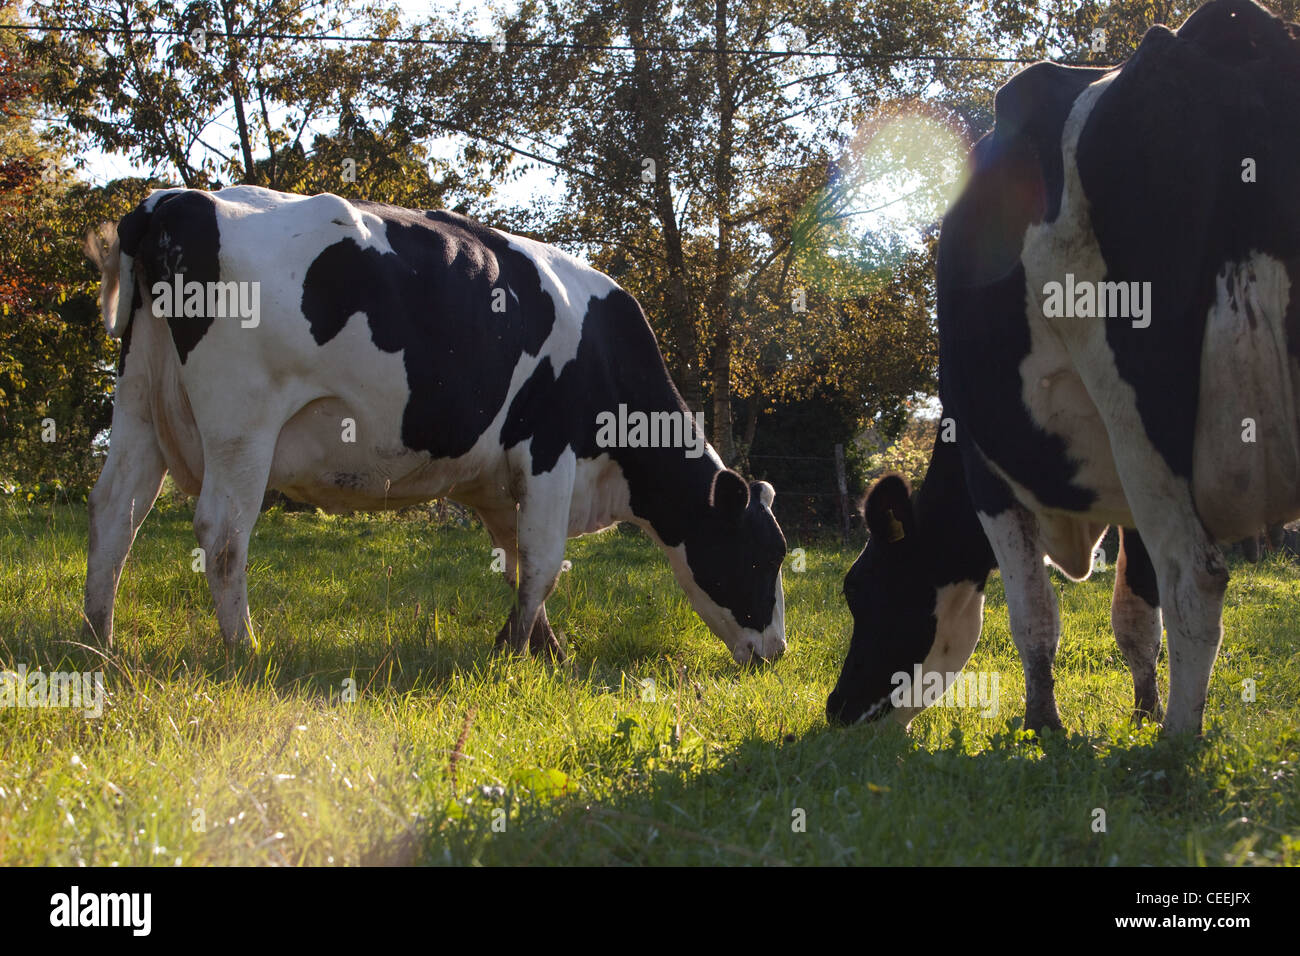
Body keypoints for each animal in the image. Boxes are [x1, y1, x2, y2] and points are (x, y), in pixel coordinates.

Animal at [82, 186, 787, 664]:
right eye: (763, 554)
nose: (778, 651)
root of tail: (175, 201)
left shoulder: (498, 480)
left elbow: (517, 561)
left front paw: (540, 649)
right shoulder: (549, 452)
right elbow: (545, 562)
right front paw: (513, 654)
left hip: (138, 405)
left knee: (115, 511)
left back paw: (98, 639)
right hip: (241, 424)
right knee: (223, 532)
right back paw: (244, 651)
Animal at [827, 0, 1300, 735]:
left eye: (862, 589)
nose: (836, 708)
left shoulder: (988, 471)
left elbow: (1033, 616)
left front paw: (1043, 721)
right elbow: (1135, 613)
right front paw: (1140, 708)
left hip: (1138, 398)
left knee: (1196, 575)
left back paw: (1177, 741)